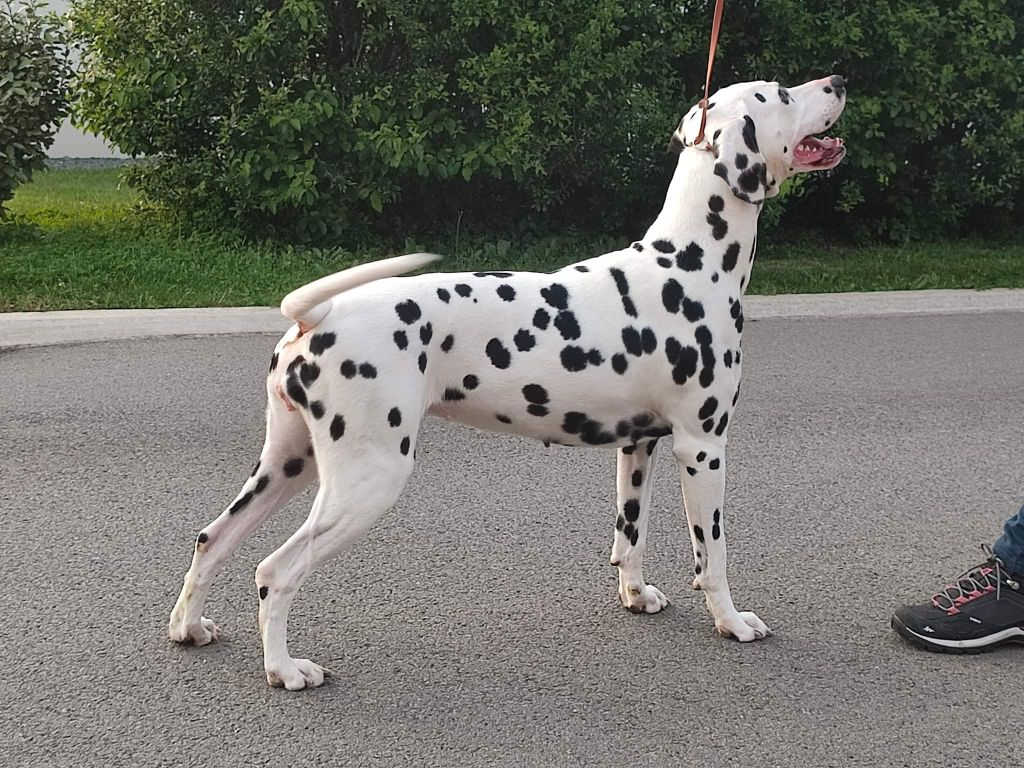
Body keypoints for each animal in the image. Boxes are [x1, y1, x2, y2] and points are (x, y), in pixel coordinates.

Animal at [167, 78, 843, 692]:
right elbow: (714, 554)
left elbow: (631, 535)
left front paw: (636, 594)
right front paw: (732, 622)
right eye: (782, 93)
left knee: (211, 539)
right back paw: (284, 669)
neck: (687, 265)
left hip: (288, 465)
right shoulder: (702, 449)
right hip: (367, 479)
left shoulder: (639, 447)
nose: (837, 81)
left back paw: (189, 628)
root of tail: (317, 317)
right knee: (275, 571)